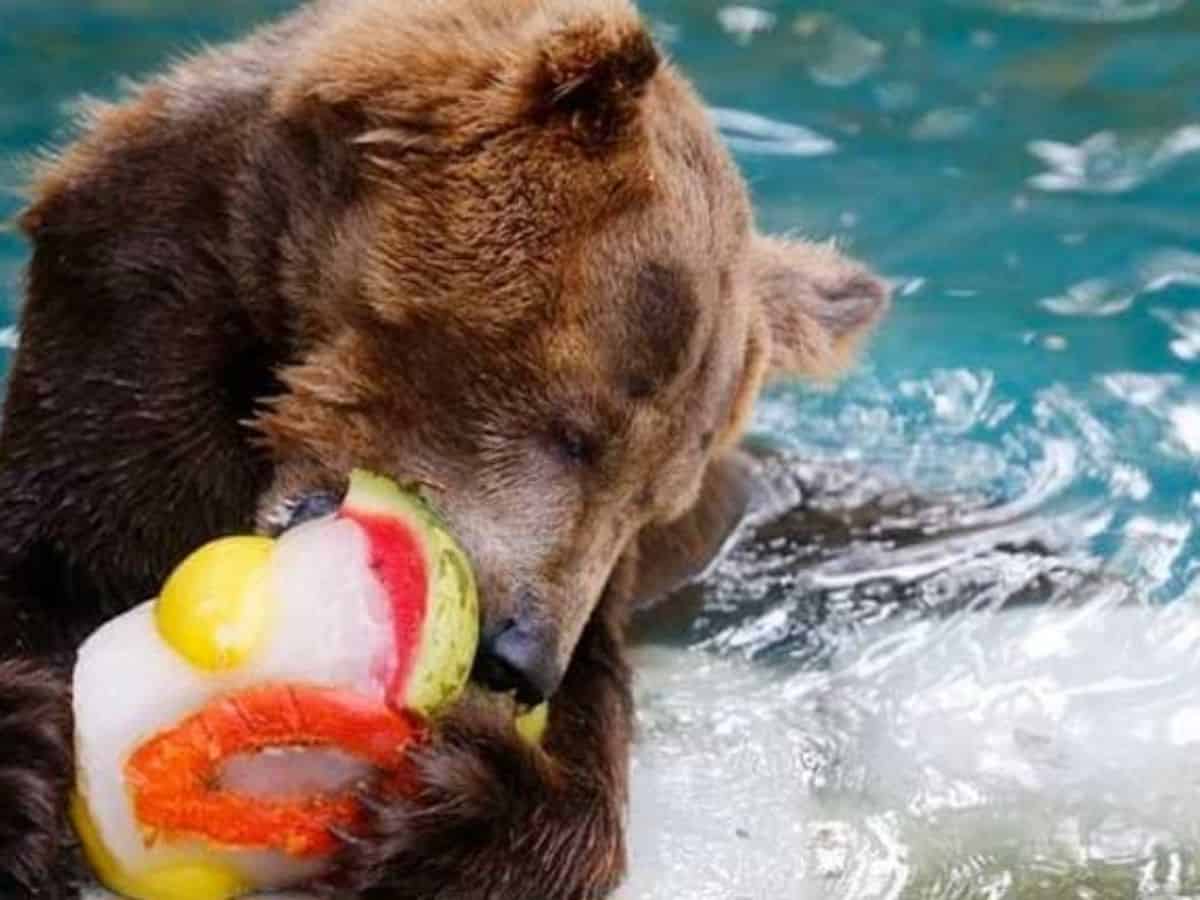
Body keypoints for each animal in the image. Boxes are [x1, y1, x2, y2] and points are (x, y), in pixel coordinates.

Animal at [0, 0, 883, 897]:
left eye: (653, 501)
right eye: (577, 434)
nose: (519, 659)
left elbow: (584, 761)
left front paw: (444, 809)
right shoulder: (123, 356)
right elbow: (52, 550)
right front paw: (24, 770)